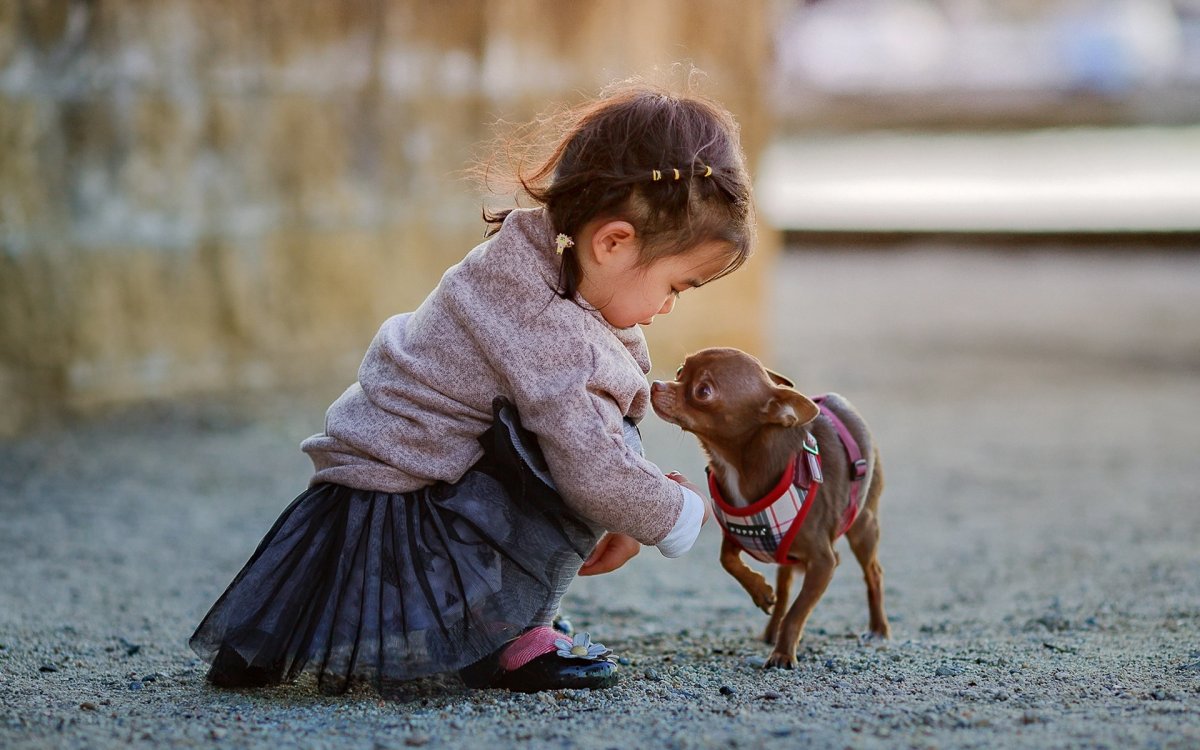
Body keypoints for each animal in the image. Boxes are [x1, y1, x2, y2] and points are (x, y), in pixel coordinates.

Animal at [648, 345, 892, 667]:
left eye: (703, 391)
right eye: (679, 371)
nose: (655, 385)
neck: (738, 465)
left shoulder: (824, 563)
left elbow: (797, 612)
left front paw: (783, 653)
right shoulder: (739, 533)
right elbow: (727, 560)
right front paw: (761, 592)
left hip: (863, 526)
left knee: (873, 573)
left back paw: (878, 629)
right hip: (788, 554)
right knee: (785, 587)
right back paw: (770, 629)